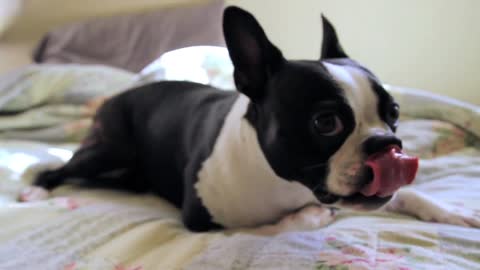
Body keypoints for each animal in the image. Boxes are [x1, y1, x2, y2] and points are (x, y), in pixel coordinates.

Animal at [30, 5, 480, 232]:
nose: (387, 144)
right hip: (108, 149)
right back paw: (36, 190)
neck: (285, 183)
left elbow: (411, 194)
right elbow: (285, 224)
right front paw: (311, 215)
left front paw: (453, 212)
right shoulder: (204, 220)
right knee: (59, 168)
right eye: (326, 123)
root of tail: (119, 95)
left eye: (394, 113)